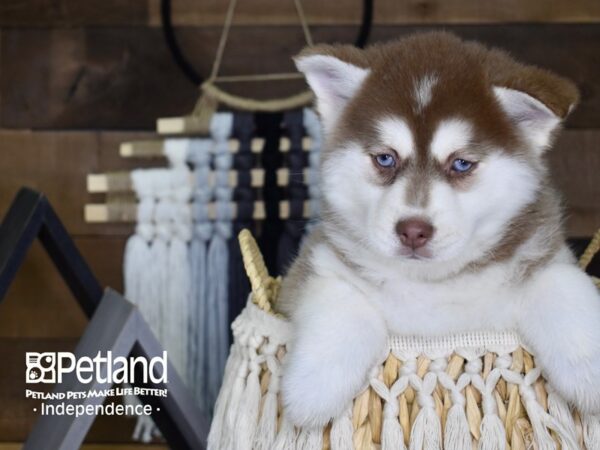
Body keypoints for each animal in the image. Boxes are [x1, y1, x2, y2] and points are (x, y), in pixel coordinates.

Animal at [278, 32, 600, 428]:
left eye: (461, 163)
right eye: (385, 158)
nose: (413, 230)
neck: (432, 286)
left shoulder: (545, 253)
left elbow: (563, 284)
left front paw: (589, 373)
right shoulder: (315, 263)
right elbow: (339, 301)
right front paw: (313, 386)